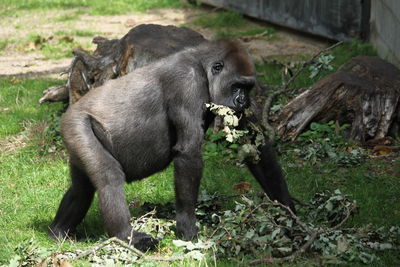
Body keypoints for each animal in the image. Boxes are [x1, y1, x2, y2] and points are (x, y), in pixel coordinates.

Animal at [49, 39, 294, 251]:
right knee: (109, 177)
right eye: (236, 86)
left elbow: (257, 147)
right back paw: (126, 237)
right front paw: (187, 229)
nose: (242, 101)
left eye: (247, 87)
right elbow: (188, 154)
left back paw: (58, 231)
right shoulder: (187, 83)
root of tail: (69, 111)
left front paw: (288, 214)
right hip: (75, 125)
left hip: (74, 138)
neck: (203, 65)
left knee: (82, 187)